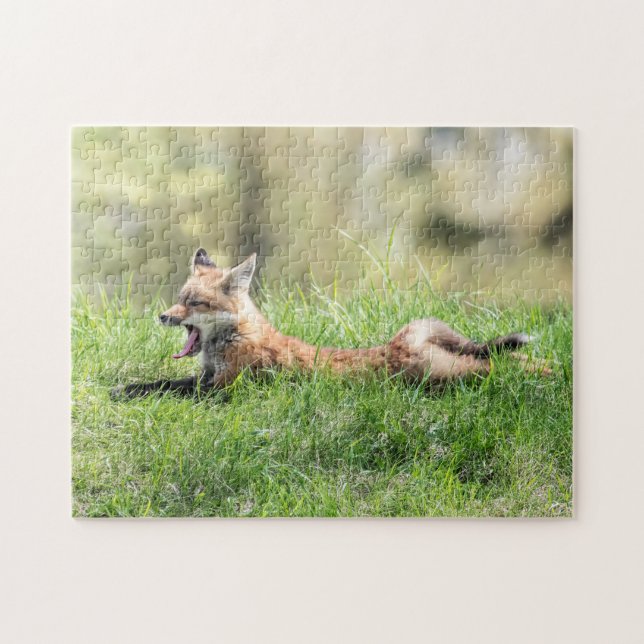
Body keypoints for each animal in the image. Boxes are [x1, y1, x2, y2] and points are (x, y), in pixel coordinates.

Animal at [113, 248, 551, 398]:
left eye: (194, 303)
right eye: (179, 299)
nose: (163, 316)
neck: (233, 340)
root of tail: (398, 344)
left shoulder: (222, 391)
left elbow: (168, 391)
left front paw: (126, 393)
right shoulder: (203, 379)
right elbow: (157, 382)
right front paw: (123, 388)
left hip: (447, 375)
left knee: (496, 365)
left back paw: (545, 373)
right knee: (501, 357)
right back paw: (549, 368)